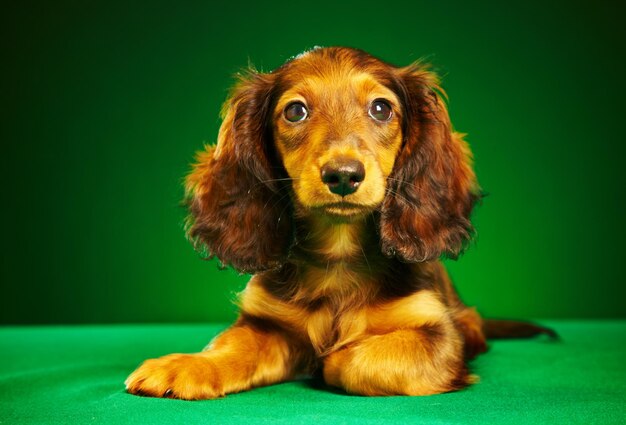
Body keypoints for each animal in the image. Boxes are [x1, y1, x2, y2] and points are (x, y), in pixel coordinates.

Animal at [125, 48, 552, 400]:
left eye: (381, 109)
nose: (343, 176)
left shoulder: (440, 339)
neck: (339, 255)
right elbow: (230, 346)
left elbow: (349, 359)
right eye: (295, 111)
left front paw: (330, 357)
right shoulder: (266, 323)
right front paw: (189, 364)